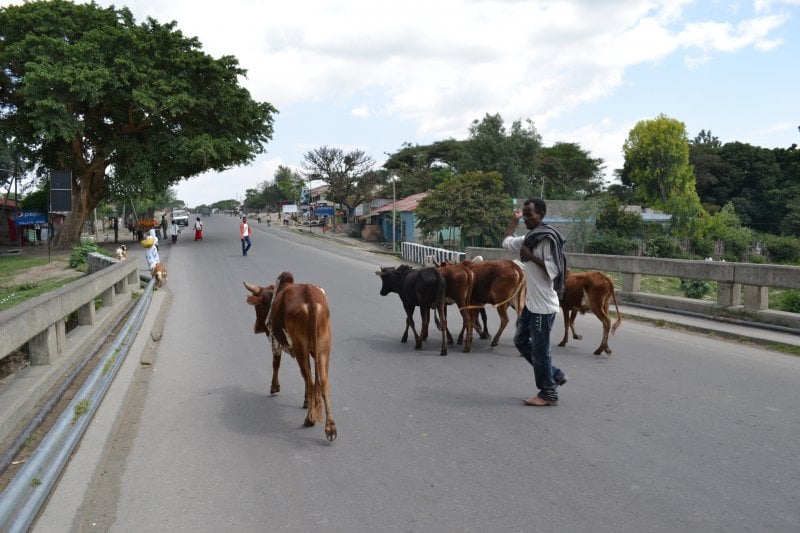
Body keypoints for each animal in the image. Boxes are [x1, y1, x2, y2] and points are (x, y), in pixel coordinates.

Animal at [241, 272, 334, 438]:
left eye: (258, 306)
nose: (257, 328)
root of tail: (309, 294)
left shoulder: (274, 342)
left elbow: (276, 364)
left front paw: (274, 387)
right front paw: (307, 402)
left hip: (300, 349)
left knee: (311, 381)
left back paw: (310, 419)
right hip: (323, 349)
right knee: (322, 382)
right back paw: (330, 427)